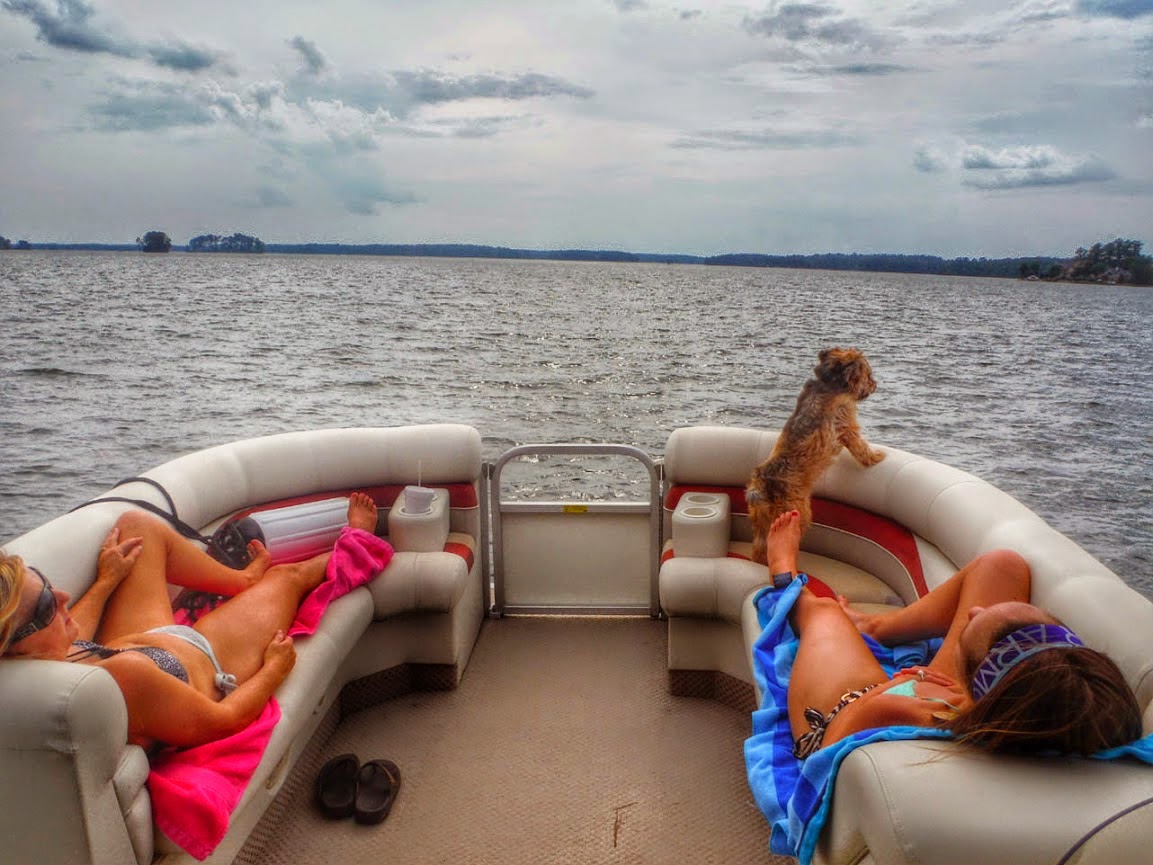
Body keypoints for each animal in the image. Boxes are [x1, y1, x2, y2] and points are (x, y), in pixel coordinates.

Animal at [742, 348, 885, 565]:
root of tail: (760, 489)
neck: (830, 381)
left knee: (759, 549)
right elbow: (861, 448)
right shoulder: (847, 426)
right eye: (868, 375)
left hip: (761, 522)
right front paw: (876, 457)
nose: (874, 384)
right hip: (799, 514)